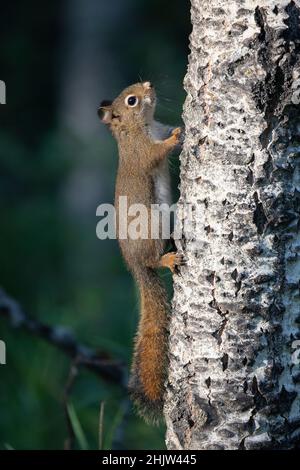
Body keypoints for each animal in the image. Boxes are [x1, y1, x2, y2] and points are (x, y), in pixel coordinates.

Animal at [97, 81, 184, 422]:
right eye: (132, 101)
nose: (149, 85)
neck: (144, 126)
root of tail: (136, 267)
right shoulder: (141, 152)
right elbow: (156, 153)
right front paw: (176, 137)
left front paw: (178, 126)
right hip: (151, 229)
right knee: (153, 259)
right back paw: (168, 257)